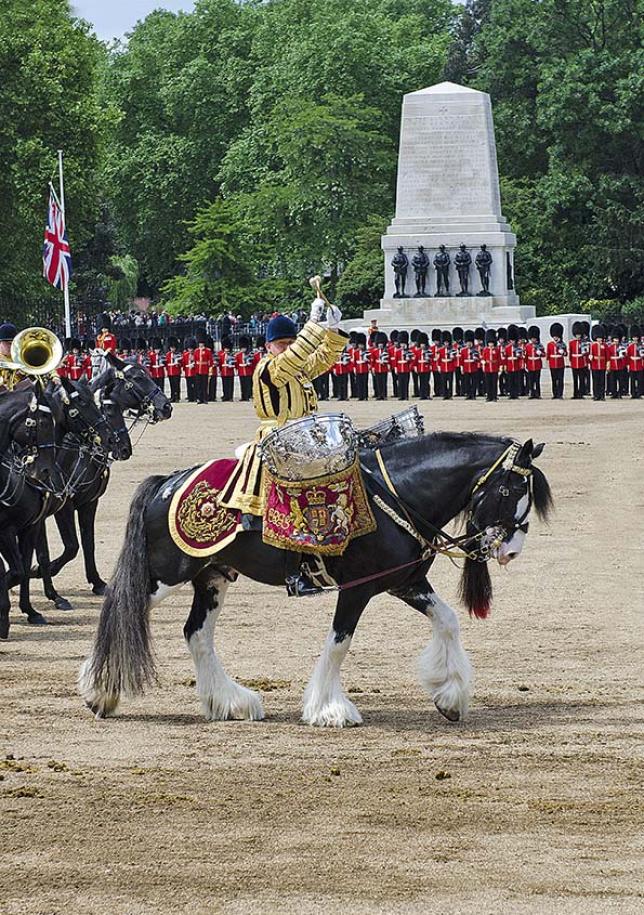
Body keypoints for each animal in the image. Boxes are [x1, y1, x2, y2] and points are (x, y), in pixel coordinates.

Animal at [80, 432, 552, 728]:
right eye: (508, 491)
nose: (511, 550)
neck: (395, 495)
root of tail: (169, 480)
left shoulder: (404, 583)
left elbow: (448, 621)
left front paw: (449, 696)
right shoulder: (358, 589)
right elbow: (339, 643)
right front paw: (329, 708)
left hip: (213, 576)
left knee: (196, 633)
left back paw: (230, 701)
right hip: (165, 576)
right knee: (122, 608)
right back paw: (99, 691)